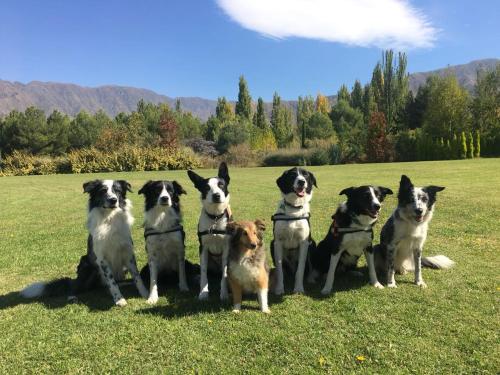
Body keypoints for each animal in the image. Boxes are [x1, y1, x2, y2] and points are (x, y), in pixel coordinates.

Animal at [188, 163, 232, 302]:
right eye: (206, 188)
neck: (215, 217)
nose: (216, 195)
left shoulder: (227, 248)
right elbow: (203, 273)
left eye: (221, 185)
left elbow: (225, 274)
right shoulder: (203, 248)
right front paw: (203, 293)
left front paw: (224, 293)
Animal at [272, 168, 318, 296]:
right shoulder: (277, 242)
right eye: (292, 175)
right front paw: (279, 288)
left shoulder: (304, 242)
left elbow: (300, 269)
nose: (301, 182)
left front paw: (298, 288)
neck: (294, 209)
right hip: (271, 244)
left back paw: (311, 278)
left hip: (312, 244)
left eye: (306, 175)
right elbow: (279, 269)